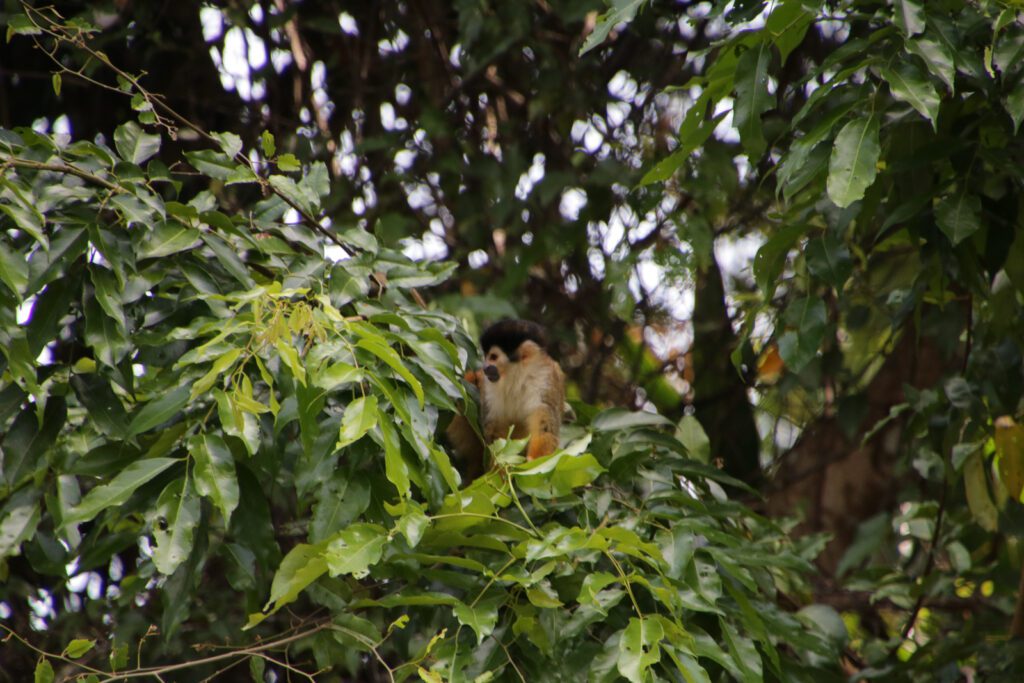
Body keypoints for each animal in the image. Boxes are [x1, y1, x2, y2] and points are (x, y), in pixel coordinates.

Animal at [446, 319, 565, 474]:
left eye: (493, 357)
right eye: (485, 356)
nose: (485, 367)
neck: (516, 377)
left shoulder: (545, 381)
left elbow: (545, 426)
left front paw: (535, 462)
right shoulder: (489, 388)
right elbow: (495, 430)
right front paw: (499, 469)